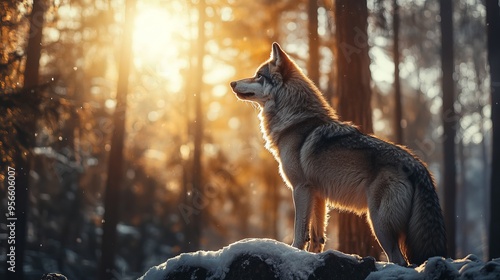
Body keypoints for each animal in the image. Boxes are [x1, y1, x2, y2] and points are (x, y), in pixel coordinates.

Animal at [229, 42, 446, 264]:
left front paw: (294, 252)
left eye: (258, 76)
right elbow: (316, 238)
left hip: (378, 224)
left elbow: (300, 232)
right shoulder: (318, 194)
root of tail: (418, 166)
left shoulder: (300, 188)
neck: (295, 121)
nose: (231, 82)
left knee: (400, 261)